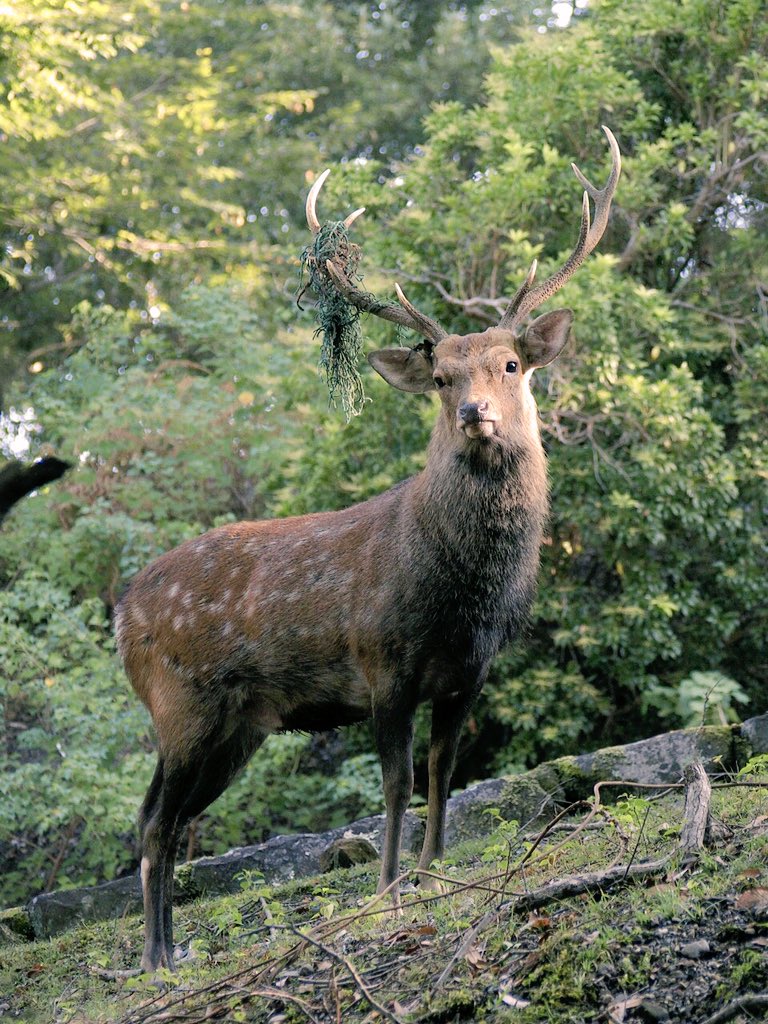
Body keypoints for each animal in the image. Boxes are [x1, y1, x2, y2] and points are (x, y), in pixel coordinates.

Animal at [115, 123, 618, 970]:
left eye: (510, 363)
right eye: (442, 376)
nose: (477, 413)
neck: (463, 593)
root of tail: (119, 617)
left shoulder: (470, 673)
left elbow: (443, 775)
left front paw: (437, 873)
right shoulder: (383, 665)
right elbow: (393, 783)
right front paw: (388, 891)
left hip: (235, 726)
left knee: (167, 816)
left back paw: (172, 950)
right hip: (181, 702)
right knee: (157, 822)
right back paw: (154, 959)